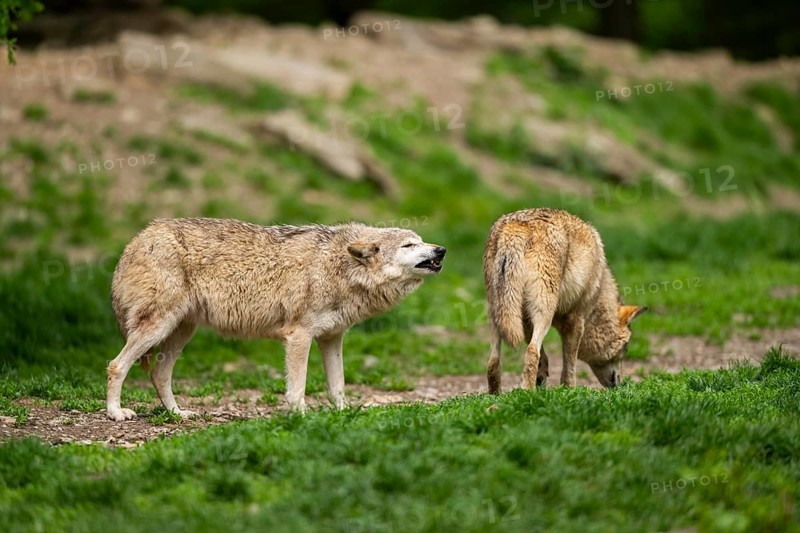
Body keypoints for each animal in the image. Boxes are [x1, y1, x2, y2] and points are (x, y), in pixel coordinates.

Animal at [107, 217, 446, 421]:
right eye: (409, 245)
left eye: (421, 240)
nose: (441, 249)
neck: (339, 267)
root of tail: (136, 239)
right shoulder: (298, 336)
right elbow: (298, 387)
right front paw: (301, 417)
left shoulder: (331, 338)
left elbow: (337, 385)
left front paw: (344, 415)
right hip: (158, 328)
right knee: (116, 365)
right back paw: (115, 413)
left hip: (180, 333)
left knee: (159, 373)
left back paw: (177, 414)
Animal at [483, 208, 646, 392]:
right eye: (626, 348)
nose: (619, 384)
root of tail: (517, 227)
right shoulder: (576, 320)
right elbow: (569, 367)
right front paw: (569, 391)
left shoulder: (526, 321)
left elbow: (545, 360)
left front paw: (542, 384)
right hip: (543, 314)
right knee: (532, 352)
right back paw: (527, 392)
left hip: (497, 316)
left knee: (493, 362)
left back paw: (497, 395)